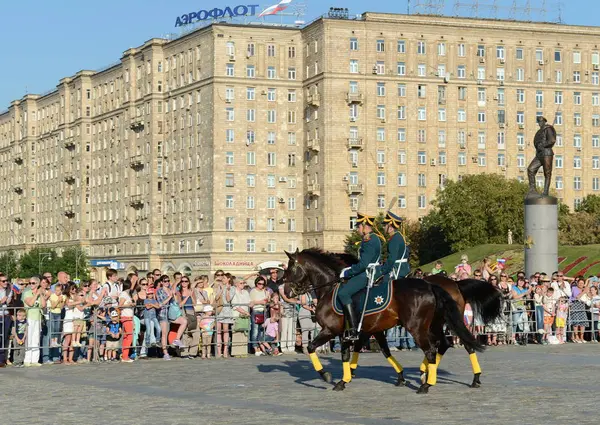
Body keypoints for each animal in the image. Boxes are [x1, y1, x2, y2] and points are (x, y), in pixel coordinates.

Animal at [282, 248, 482, 394]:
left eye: (291, 268)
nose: (286, 291)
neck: (330, 288)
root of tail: (431, 285)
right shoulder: (356, 332)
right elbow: (363, 353)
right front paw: (345, 379)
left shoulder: (331, 330)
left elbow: (311, 347)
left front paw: (326, 375)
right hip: (434, 325)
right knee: (445, 345)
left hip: (418, 328)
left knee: (434, 349)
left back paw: (428, 383)